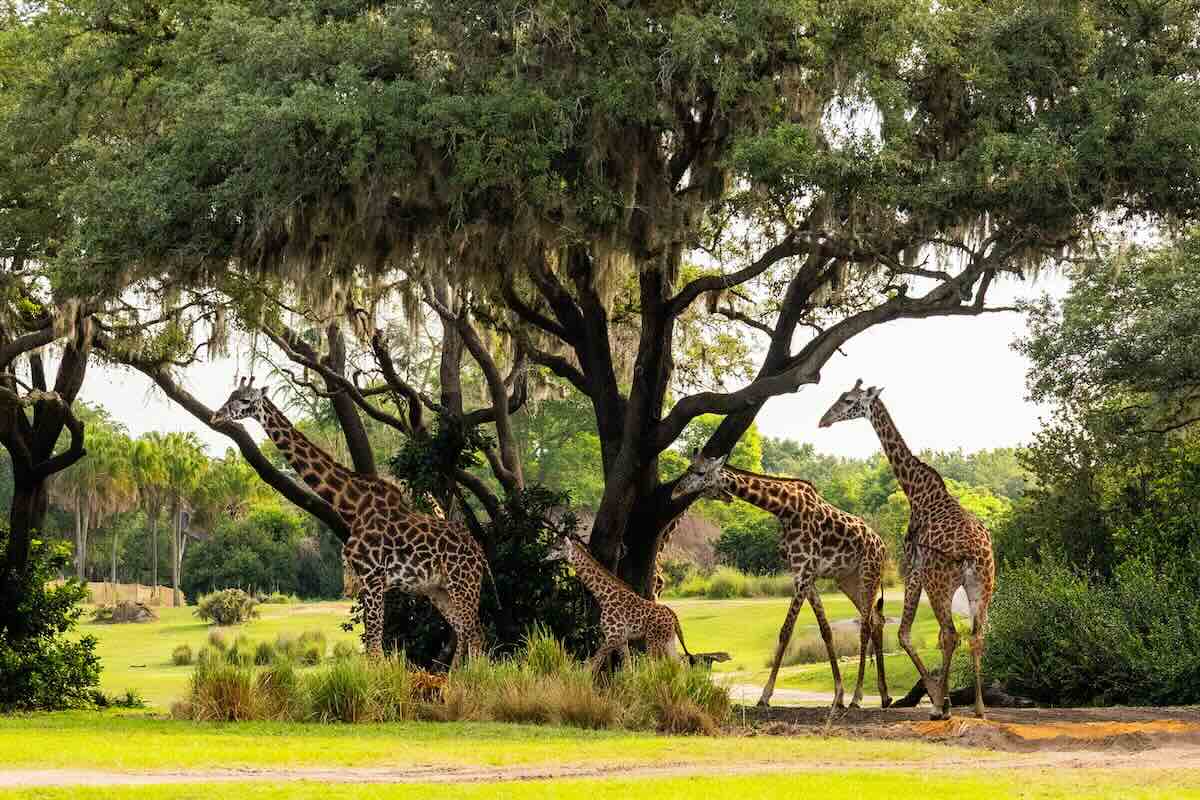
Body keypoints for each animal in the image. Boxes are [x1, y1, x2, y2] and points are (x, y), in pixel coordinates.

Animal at [211, 378, 489, 667]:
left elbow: (375, 647)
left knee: (474, 631)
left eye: (245, 400)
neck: (352, 506)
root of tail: (480, 553)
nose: (216, 416)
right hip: (438, 589)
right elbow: (372, 645)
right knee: (466, 630)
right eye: (230, 395)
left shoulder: (373, 576)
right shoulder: (365, 579)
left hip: (463, 584)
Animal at [546, 533, 695, 674]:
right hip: (668, 639)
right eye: (553, 545)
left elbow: (592, 663)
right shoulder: (622, 639)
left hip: (654, 640)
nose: (545, 557)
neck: (604, 597)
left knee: (656, 666)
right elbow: (628, 667)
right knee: (680, 665)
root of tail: (673, 616)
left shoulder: (613, 636)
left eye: (558, 548)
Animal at [672, 452, 890, 709]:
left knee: (865, 626)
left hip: (869, 574)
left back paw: (858, 697)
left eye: (699, 472)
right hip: (848, 580)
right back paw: (885, 696)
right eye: (688, 468)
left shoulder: (804, 573)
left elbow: (786, 631)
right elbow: (826, 630)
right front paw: (838, 696)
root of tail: (883, 547)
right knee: (876, 620)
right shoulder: (804, 575)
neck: (785, 509)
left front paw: (765, 696)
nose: (675, 492)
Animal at [819, 379, 995, 720]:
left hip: (940, 584)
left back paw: (942, 708)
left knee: (951, 634)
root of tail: (973, 554)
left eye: (847, 399)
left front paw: (939, 699)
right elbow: (914, 634)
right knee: (975, 635)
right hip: (982, 586)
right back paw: (979, 708)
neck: (917, 491)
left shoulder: (912, 567)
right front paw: (943, 697)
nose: (824, 420)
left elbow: (903, 633)